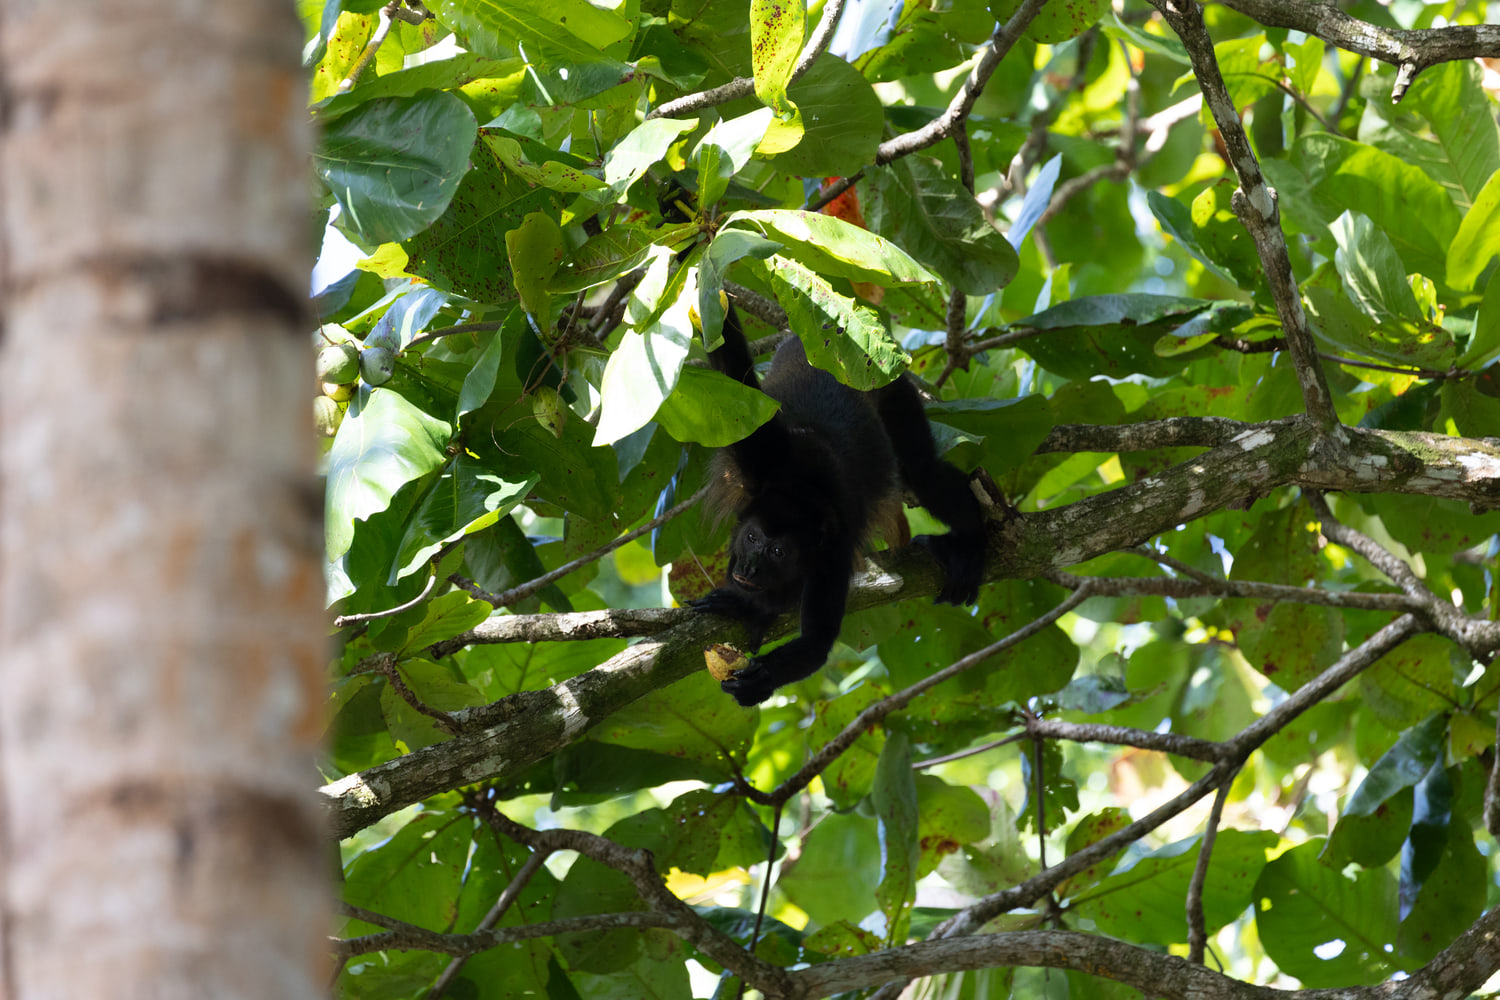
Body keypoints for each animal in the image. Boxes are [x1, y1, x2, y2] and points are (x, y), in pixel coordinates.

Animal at [690, 306, 987, 706]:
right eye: (752, 537)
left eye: (779, 551)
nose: (750, 567)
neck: (802, 491)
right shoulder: (761, 454)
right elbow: (732, 369)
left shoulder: (834, 549)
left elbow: (816, 643)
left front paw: (760, 679)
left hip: (892, 386)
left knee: (922, 469)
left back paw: (970, 546)